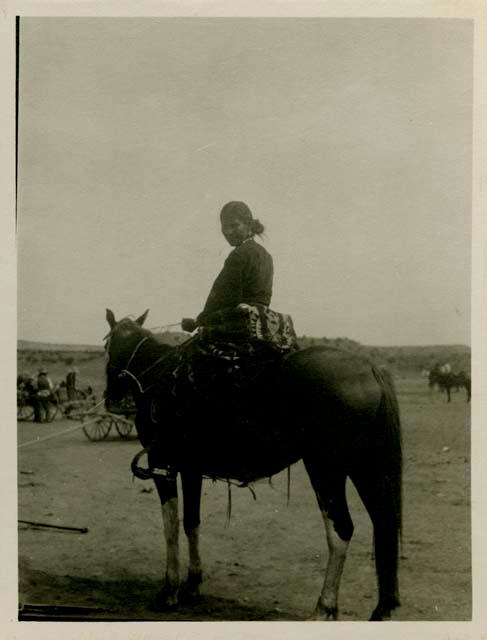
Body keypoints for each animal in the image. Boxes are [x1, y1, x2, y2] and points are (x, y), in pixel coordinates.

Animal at [106, 310, 404, 620]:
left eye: (108, 346)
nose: (111, 398)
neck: (158, 377)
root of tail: (369, 369)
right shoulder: (190, 470)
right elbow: (191, 522)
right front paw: (193, 584)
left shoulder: (162, 465)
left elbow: (171, 527)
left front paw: (169, 592)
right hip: (366, 469)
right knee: (384, 524)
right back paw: (381, 609)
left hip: (326, 469)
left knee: (341, 529)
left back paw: (324, 608)